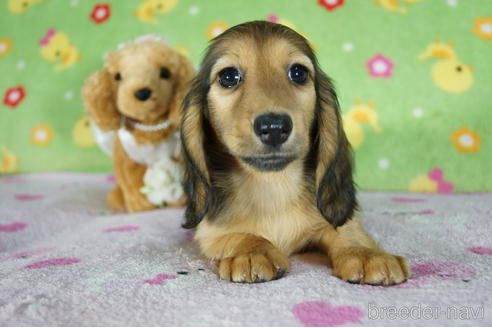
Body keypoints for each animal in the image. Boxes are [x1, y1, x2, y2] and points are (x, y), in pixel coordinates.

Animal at [180, 21, 408, 286]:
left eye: (298, 73)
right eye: (228, 77)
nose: (274, 127)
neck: (273, 185)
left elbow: (347, 232)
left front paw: (366, 254)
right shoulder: (210, 233)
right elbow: (241, 235)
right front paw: (252, 251)